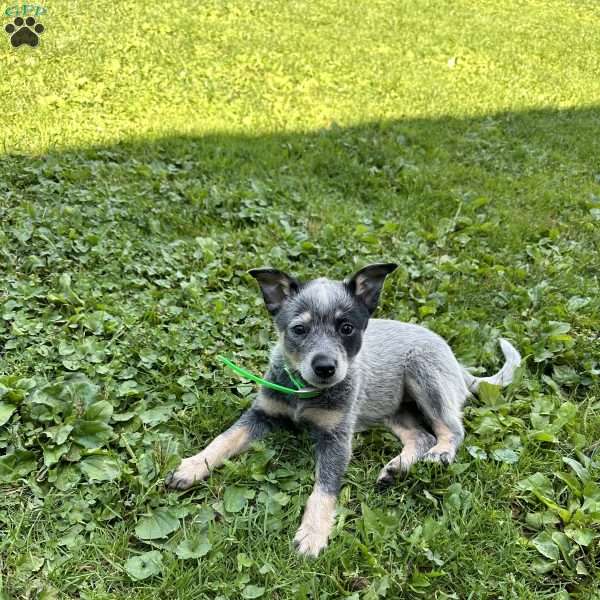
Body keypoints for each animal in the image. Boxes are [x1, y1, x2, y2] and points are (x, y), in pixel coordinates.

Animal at [166, 262, 524, 556]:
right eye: (299, 329)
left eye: (346, 328)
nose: (325, 367)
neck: (304, 392)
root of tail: (456, 362)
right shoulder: (262, 413)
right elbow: (224, 439)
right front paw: (192, 466)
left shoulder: (337, 438)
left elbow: (324, 489)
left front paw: (313, 534)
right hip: (391, 408)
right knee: (421, 436)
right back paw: (397, 468)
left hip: (424, 376)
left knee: (451, 428)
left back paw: (441, 454)